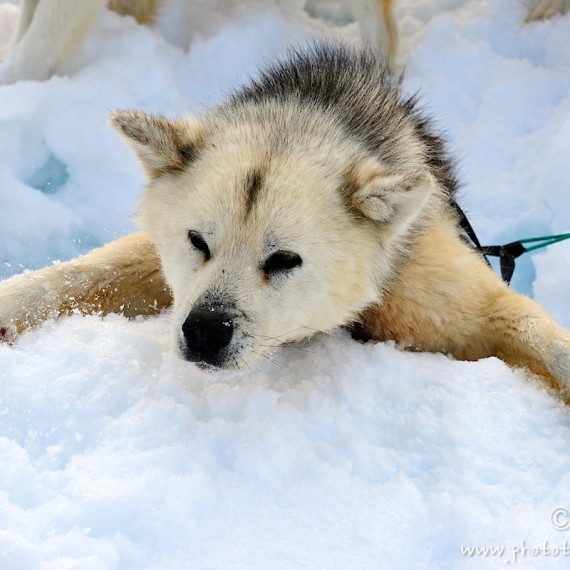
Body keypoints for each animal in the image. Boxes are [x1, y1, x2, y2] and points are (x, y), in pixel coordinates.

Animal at [1, 42, 568, 394]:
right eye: (197, 241)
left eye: (284, 259)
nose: (204, 331)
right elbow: (81, 273)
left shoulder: (432, 294)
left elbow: (526, 327)